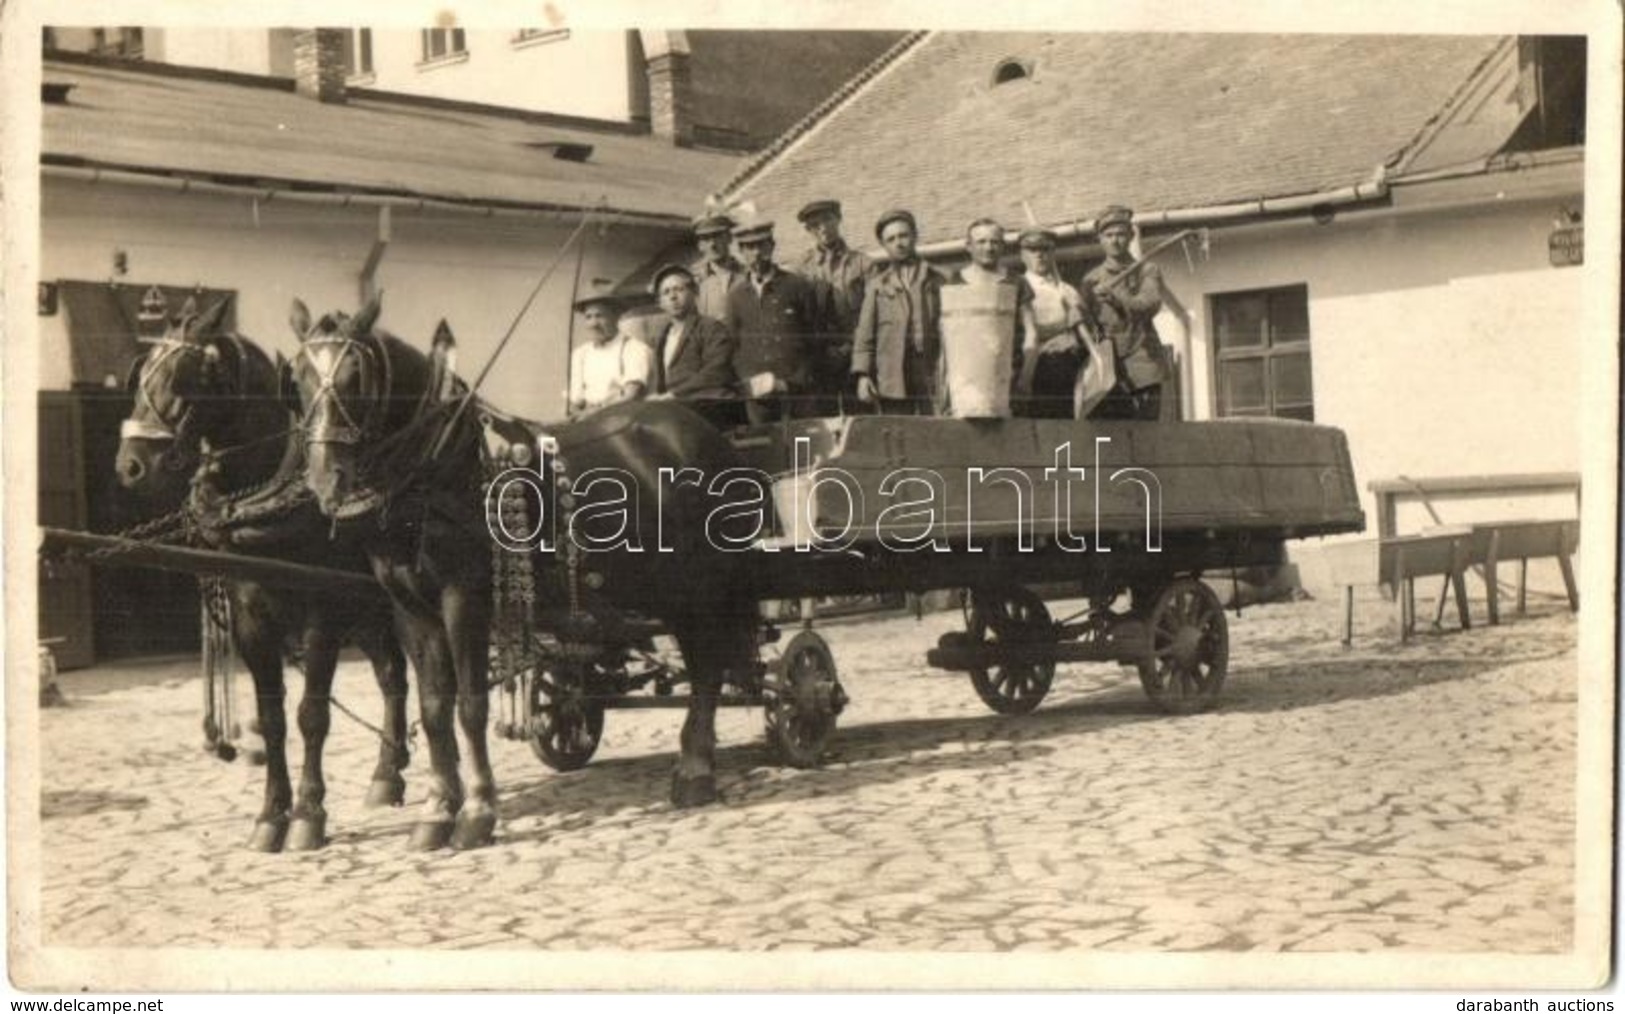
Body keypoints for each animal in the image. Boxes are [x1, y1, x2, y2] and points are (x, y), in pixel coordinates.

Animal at [111, 297, 409, 851]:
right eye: (141, 373)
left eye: (185, 375)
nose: (131, 465)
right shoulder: (251, 621)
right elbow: (272, 720)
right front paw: (271, 814)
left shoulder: (322, 617)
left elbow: (312, 715)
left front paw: (309, 813)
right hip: (366, 614)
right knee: (391, 676)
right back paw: (388, 772)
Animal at [289, 287, 763, 825]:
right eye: (298, 377)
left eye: (356, 376)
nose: (325, 477)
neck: (435, 469)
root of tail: (704, 434)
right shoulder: (408, 606)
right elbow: (434, 707)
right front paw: (438, 808)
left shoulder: (465, 598)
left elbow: (470, 705)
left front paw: (477, 809)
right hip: (665, 588)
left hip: (704, 584)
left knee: (709, 666)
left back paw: (697, 770)